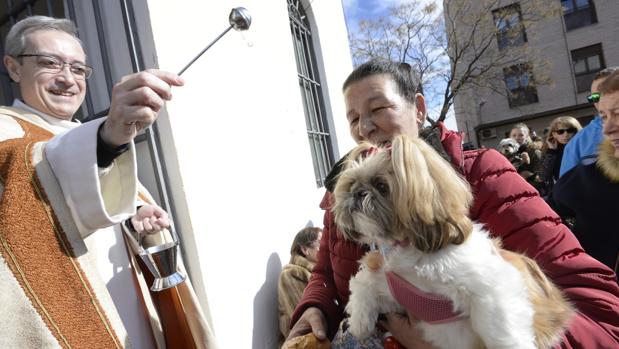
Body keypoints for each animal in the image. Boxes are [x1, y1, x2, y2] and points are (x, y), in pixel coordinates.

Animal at [332, 135, 572, 346]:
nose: (357, 193)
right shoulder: (392, 289)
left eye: (382, 186)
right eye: (351, 184)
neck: (411, 248)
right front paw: (359, 321)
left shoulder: (493, 289)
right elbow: (364, 284)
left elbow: (501, 329)